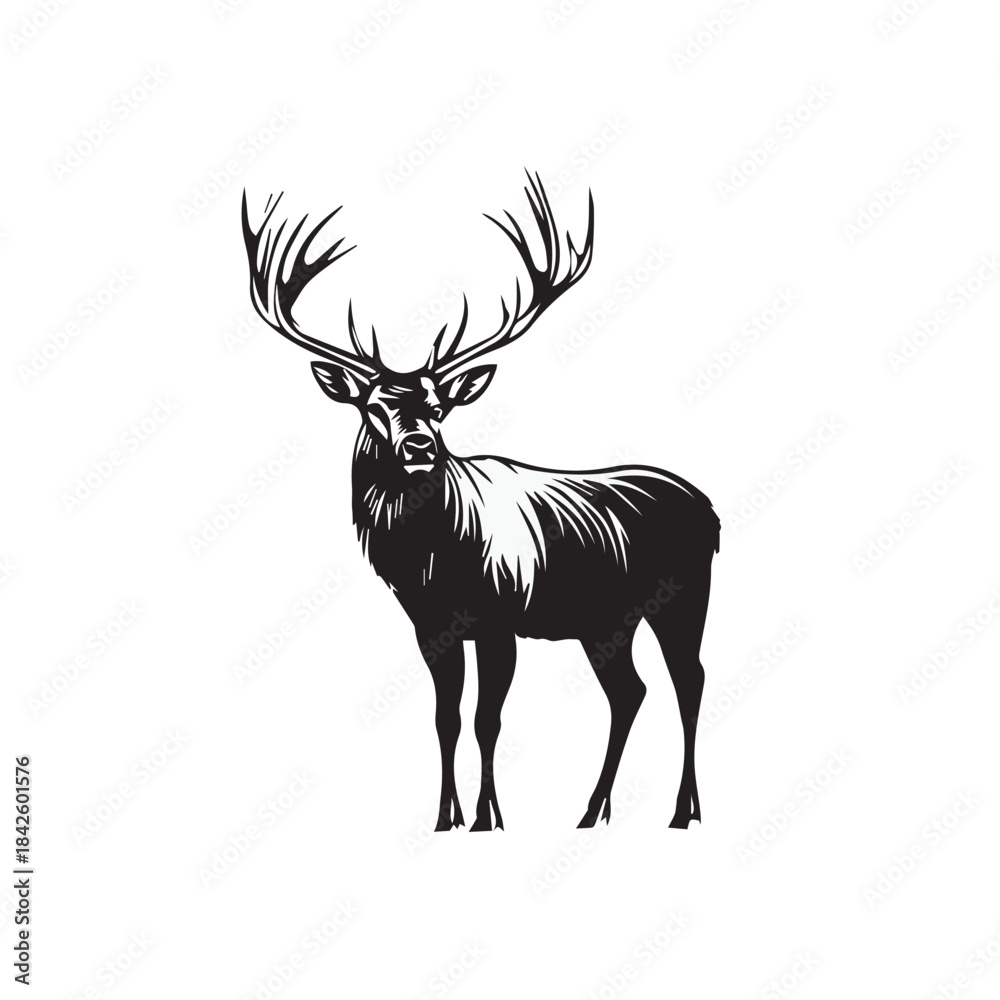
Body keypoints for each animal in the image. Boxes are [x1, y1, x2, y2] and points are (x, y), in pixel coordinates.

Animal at [241, 173, 720, 832]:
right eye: (372, 404)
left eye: (439, 406)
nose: (419, 445)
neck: (432, 563)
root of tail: (711, 511)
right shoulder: (430, 628)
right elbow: (446, 719)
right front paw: (446, 816)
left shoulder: (499, 619)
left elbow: (487, 721)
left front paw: (490, 816)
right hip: (606, 622)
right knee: (631, 692)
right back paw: (593, 810)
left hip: (683, 597)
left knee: (689, 681)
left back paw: (681, 811)